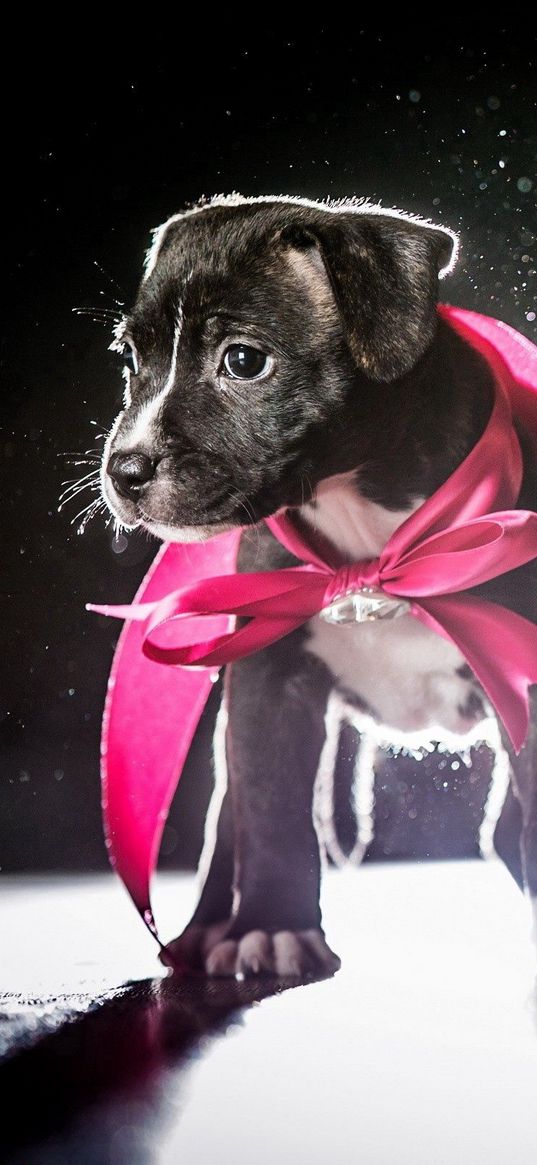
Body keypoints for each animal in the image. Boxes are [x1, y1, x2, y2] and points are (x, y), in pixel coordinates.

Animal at [99, 195, 535, 978]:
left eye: (244, 360)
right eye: (130, 359)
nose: (125, 468)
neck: (366, 530)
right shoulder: (269, 681)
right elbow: (271, 811)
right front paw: (273, 927)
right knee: (231, 818)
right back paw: (208, 928)